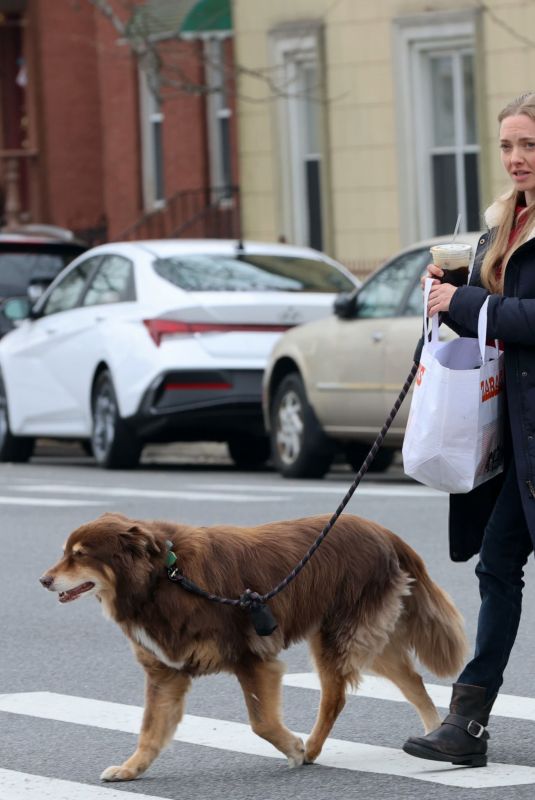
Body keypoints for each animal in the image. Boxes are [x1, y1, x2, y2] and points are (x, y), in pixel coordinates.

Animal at [39, 512, 466, 780]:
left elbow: (261, 722)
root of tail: (383, 532)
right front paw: (131, 769)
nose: (43, 580)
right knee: (412, 679)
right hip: (368, 637)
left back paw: (313, 748)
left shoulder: (251, 659)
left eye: (80, 556)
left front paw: (293, 748)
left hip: (336, 636)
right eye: (65, 553)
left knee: (335, 697)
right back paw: (433, 733)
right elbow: (150, 730)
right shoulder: (166, 673)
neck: (164, 578)